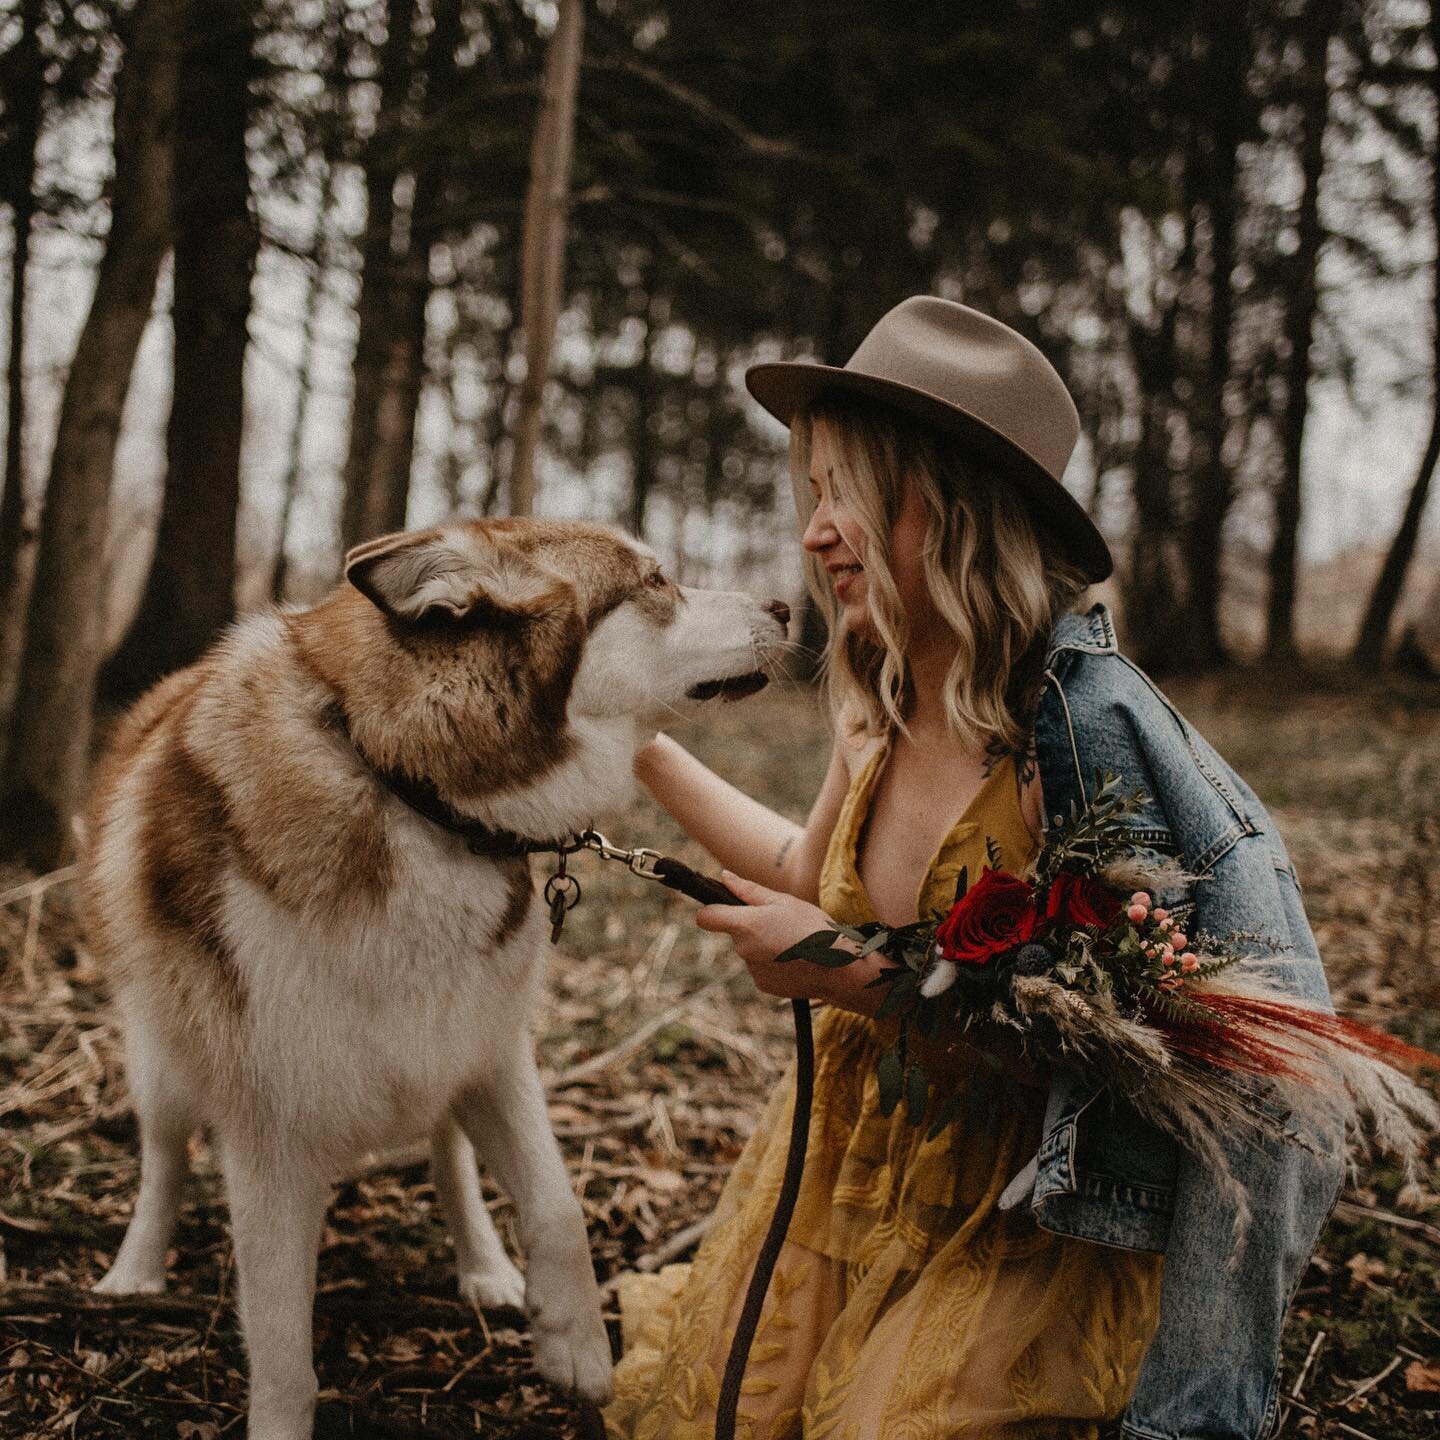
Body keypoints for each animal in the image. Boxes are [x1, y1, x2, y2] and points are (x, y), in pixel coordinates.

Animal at [81, 521, 789, 1440]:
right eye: (656, 580)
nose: (787, 604)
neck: (406, 788)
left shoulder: (493, 1052)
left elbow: (558, 1208)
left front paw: (577, 1352)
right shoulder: (272, 1132)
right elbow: (282, 1349)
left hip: (445, 1053)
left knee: (450, 1156)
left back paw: (486, 1266)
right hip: (165, 1065)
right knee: (164, 1157)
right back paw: (134, 1272)